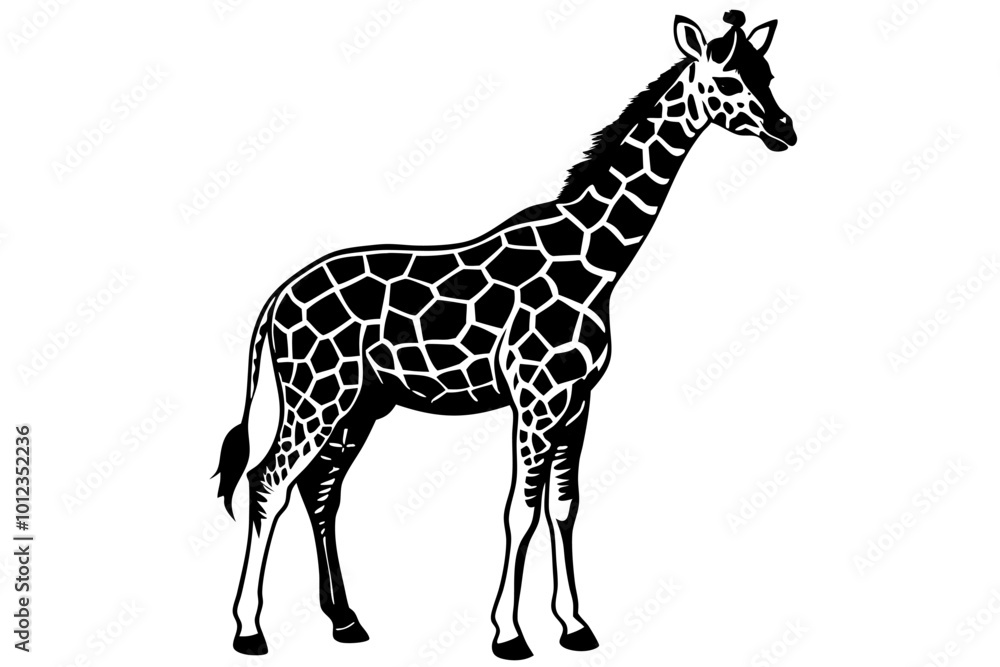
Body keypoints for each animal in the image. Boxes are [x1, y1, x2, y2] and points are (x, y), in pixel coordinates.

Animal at [215, 10, 796, 660]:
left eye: (768, 73)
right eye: (725, 77)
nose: (786, 130)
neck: (595, 261)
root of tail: (273, 300)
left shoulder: (577, 401)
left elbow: (564, 506)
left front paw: (575, 626)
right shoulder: (534, 400)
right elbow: (520, 510)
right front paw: (509, 634)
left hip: (361, 403)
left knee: (321, 490)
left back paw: (346, 621)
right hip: (316, 394)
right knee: (269, 482)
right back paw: (249, 630)